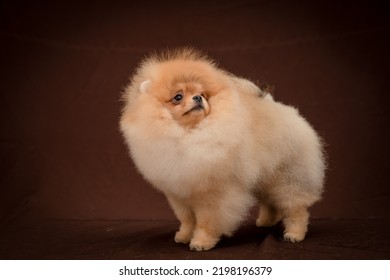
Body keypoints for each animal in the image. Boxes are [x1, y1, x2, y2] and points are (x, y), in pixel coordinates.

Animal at [119, 48, 326, 252]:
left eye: (203, 94)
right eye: (178, 97)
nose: (198, 98)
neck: (186, 136)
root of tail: (286, 111)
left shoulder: (214, 194)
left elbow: (207, 221)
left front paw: (201, 242)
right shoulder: (178, 193)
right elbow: (187, 219)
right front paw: (184, 236)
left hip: (287, 177)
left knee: (296, 207)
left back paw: (294, 234)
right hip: (265, 177)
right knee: (270, 201)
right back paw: (266, 221)